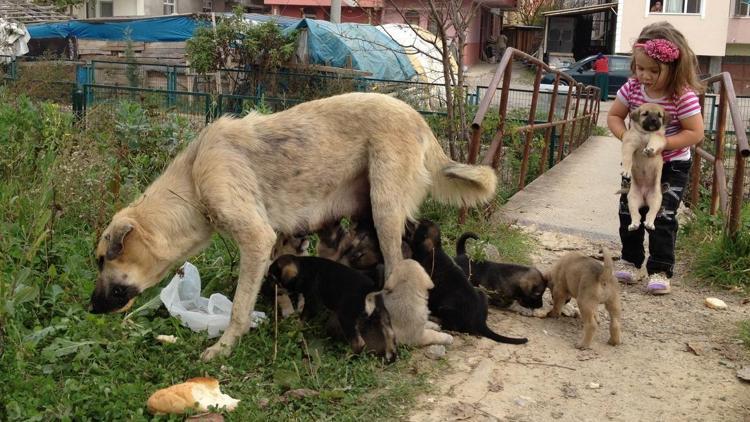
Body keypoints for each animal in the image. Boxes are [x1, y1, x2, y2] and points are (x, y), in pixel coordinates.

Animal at [92, 91, 500, 360]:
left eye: (100, 259)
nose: (91, 308)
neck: (193, 178)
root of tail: (419, 119)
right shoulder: (281, 240)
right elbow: (279, 285)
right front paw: (288, 315)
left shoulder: (256, 239)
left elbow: (240, 307)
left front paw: (223, 347)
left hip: (385, 214)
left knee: (399, 274)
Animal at [624, 102, 668, 231]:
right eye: (645, 114)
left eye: (659, 115)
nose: (653, 120)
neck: (646, 134)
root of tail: (644, 199)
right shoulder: (629, 143)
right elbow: (627, 158)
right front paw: (626, 170)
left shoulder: (658, 137)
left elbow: (654, 141)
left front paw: (649, 149)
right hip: (632, 199)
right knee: (636, 215)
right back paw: (633, 225)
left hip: (656, 199)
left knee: (650, 214)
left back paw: (649, 223)